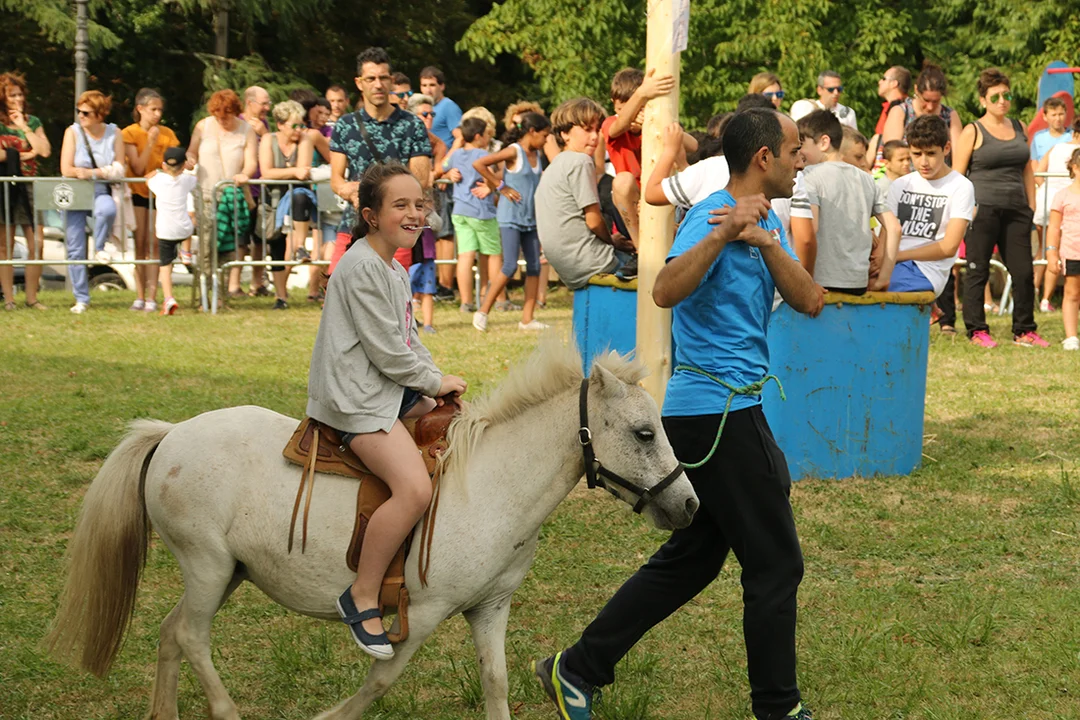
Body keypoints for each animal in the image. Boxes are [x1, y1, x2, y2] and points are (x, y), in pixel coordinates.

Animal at [45, 339, 699, 720]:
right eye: (644, 432)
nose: (690, 505)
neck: (488, 483)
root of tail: (170, 435)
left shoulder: (489, 608)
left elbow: (495, 683)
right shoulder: (420, 614)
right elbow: (379, 682)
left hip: (226, 572)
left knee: (171, 632)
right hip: (207, 567)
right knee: (191, 637)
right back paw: (226, 711)